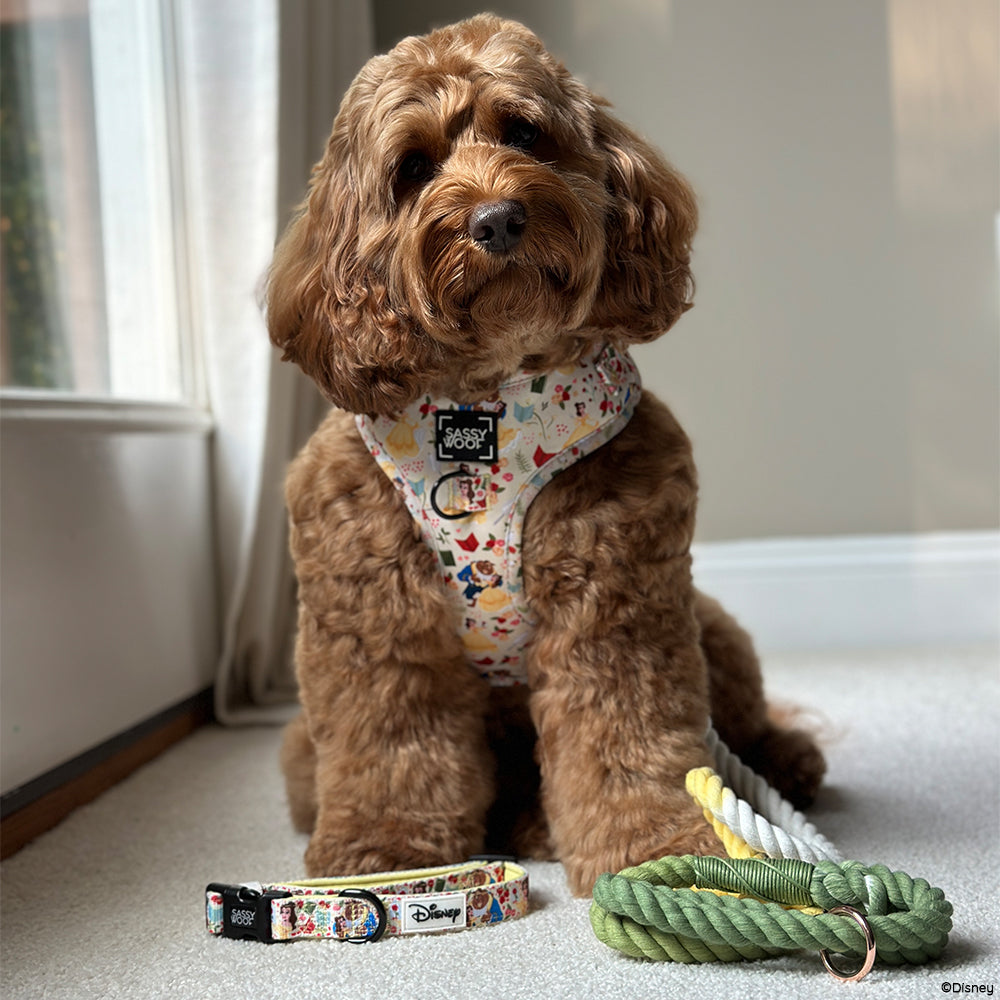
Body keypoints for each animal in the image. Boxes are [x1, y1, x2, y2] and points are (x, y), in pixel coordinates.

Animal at [266, 11, 820, 896]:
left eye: (524, 132)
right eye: (413, 167)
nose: (496, 219)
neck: (487, 400)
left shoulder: (616, 603)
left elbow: (623, 739)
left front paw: (653, 850)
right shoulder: (377, 625)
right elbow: (390, 743)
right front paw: (385, 851)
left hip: (711, 626)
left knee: (748, 722)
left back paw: (787, 763)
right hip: (300, 744)